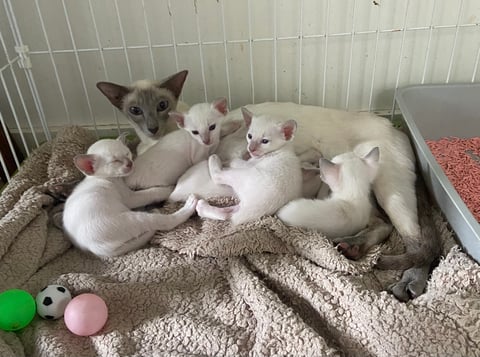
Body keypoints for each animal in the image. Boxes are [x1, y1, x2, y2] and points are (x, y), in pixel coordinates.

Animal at [62, 136, 198, 256]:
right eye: (115, 161)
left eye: (127, 154)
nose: (130, 163)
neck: (104, 178)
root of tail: (95, 250)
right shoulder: (130, 198)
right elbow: (151, 192)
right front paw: (167, 189)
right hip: (133, 219)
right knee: (167, 222)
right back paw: (188, 205)